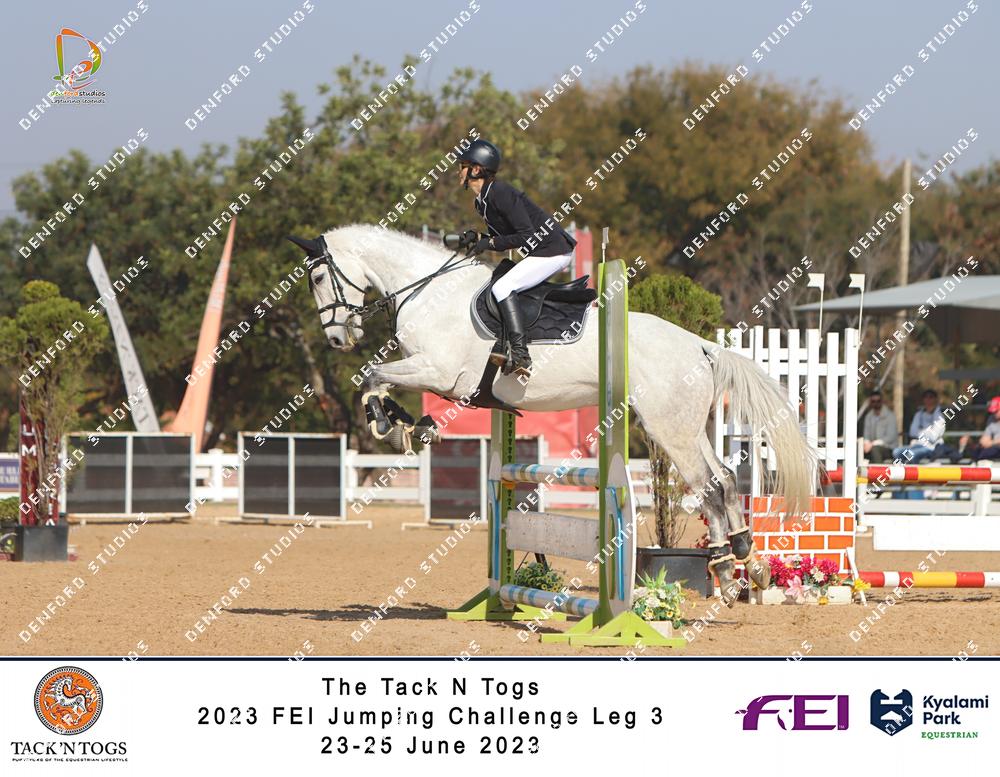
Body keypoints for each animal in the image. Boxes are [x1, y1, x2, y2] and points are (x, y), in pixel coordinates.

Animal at [298, 224, 817, 603]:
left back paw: (726, 571)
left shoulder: (442, 374)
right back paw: (746, 562)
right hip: (688, 427)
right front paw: (406, 424)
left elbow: (369, 375)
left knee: (708, 485)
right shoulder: (438, 377)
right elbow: (375, 378)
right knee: (725, 479)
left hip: (670, 428)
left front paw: (389, 425)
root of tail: (699, 344)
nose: (336, 338)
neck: (426, 293)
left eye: (319, 278)